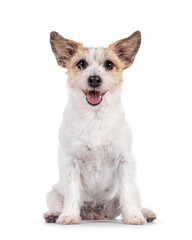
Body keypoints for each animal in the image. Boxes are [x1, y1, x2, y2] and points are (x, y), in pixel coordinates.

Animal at [43, 31, 156, 224]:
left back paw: (145, 213)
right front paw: (69, 216)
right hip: (53, 192)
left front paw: (134, 216)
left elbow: (127, 191)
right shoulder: (71, 162)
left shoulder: (124, 161)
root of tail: (94, 214)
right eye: (81, 64)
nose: (94, 79)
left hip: (132, 192)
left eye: (109, 64)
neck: (95, 118)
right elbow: (72, 192)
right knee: (58, 201)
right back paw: (54, 214)